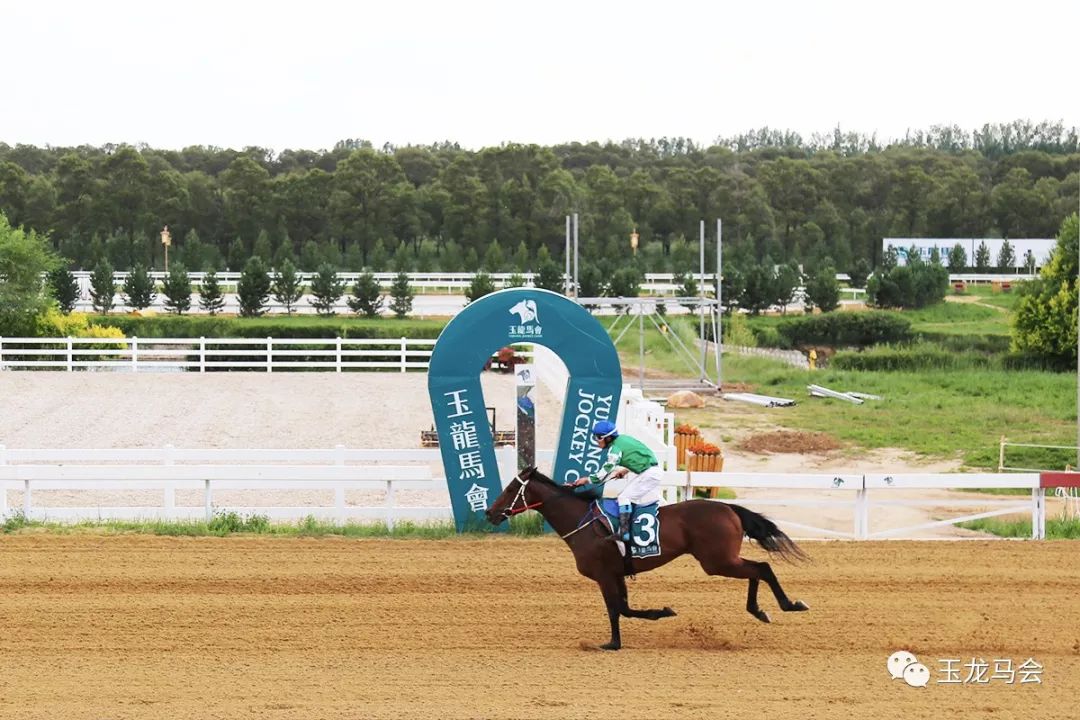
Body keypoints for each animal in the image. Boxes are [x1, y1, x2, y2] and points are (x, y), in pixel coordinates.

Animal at [484, 465, 810, 650]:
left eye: (511, 488)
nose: (489, 513)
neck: (582, 521)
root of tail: (729, 508)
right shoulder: (616, 573)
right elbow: (626, 609)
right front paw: (662, 611)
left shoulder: (604, 575)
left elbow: (615, 609)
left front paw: (612, 644)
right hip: (721, 560)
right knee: (757, 570)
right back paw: (760, 610)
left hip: (717, 561)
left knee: (761, 568)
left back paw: (789, 604)